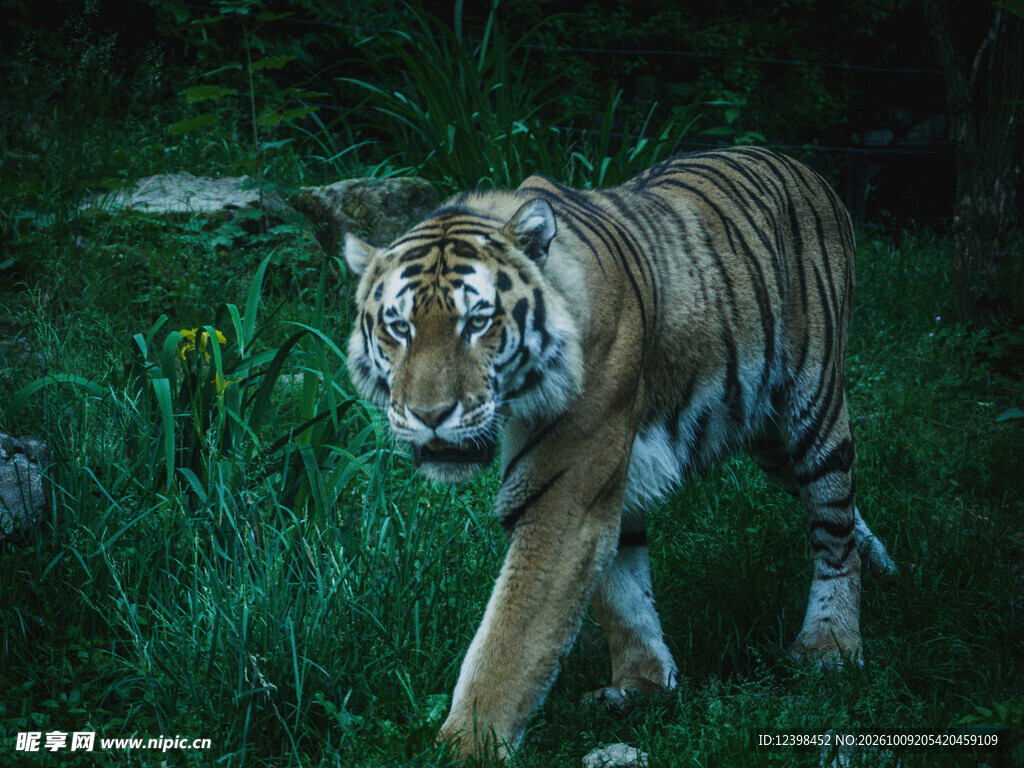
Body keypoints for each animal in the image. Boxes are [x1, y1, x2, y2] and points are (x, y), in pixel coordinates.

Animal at [343, 146, 897, 760]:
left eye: (478, 322)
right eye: (398, 327)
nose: (430, 415)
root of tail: (800, 163)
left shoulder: (565, 493)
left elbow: (511, 641)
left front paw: (464, 749)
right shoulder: (604, 484)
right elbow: (621, 589)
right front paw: (644, 685)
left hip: (811, 404)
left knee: (833, 525)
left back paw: (830, 647)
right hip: (768, 437)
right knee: (839, 511)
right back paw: (885, 570)